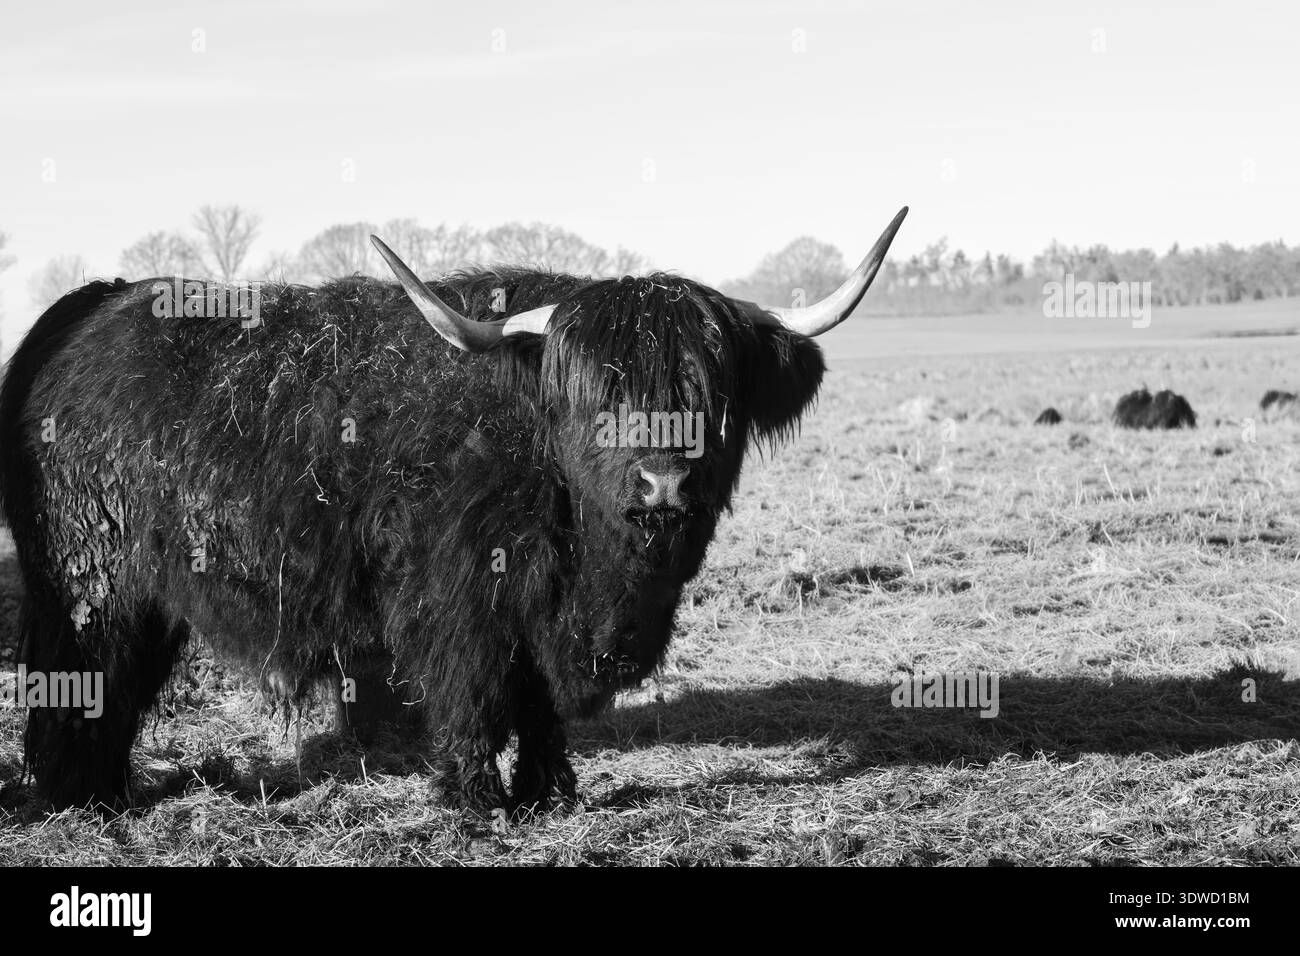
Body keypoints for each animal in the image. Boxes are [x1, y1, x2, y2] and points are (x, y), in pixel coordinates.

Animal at [0, 207, 908, 813]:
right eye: (599, 395)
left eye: (708, 395)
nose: (662, 484)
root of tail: (86, 308)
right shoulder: (459, 588)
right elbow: (474, 686)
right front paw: (477, 801)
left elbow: (539, 701)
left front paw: (551, 792)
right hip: (84, 580)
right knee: (79, 677)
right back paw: (77, 799)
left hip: (152, 594)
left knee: (119, 686)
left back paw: (112, 790)